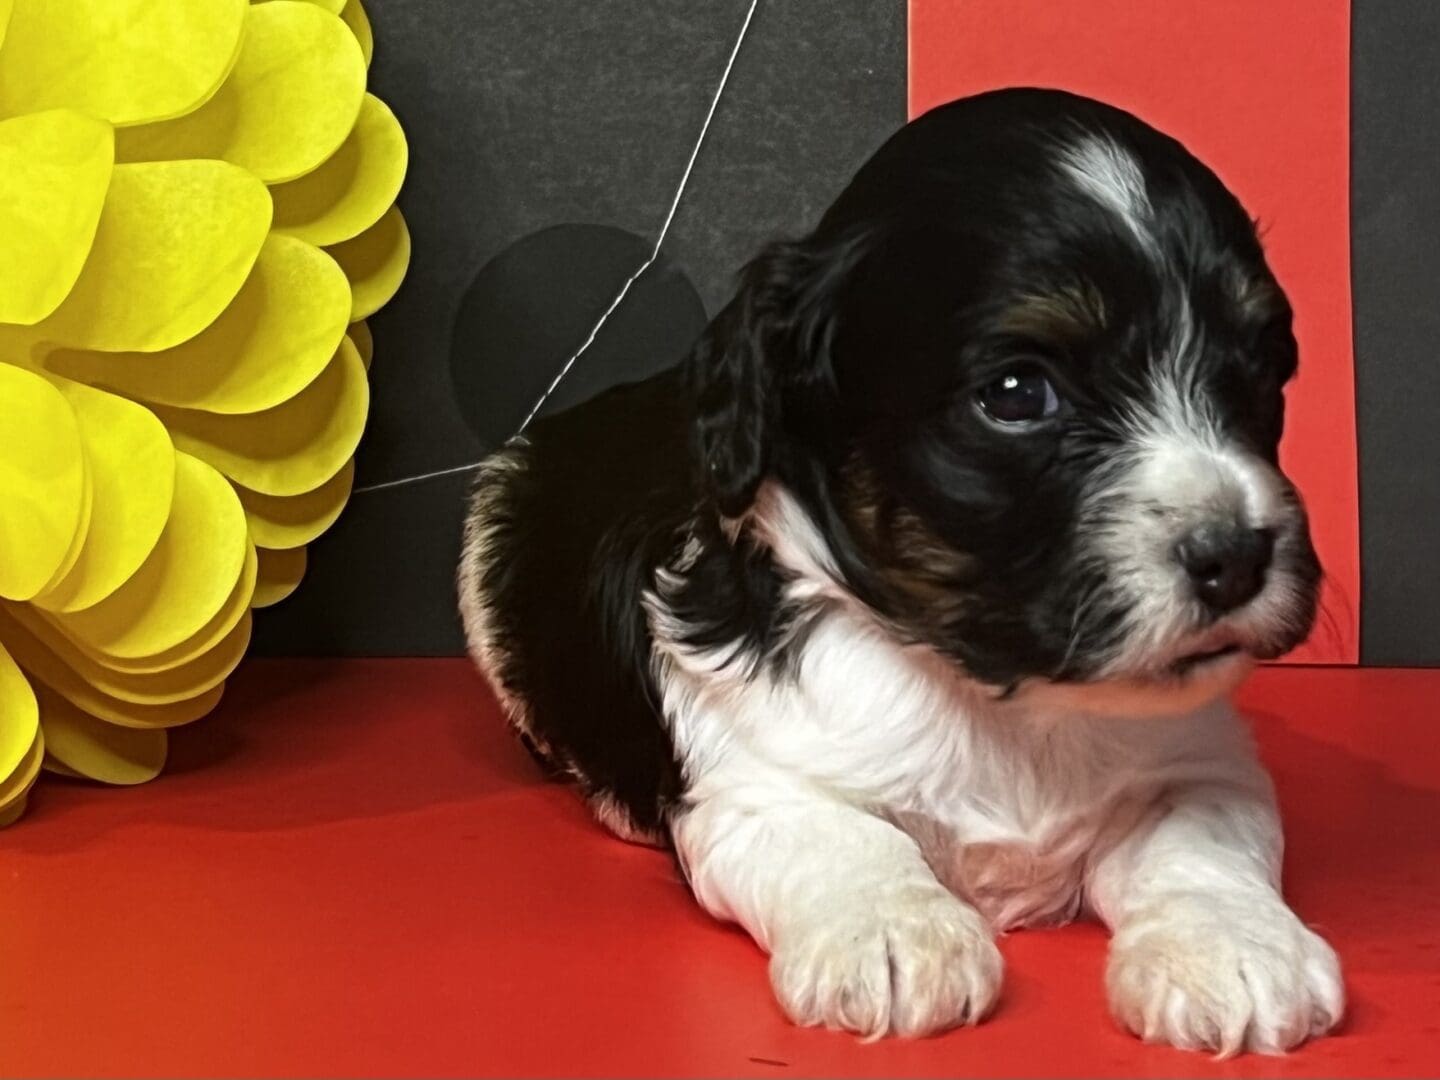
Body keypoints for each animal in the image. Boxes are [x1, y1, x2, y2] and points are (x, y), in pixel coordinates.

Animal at [457, 88, 1336, 1054]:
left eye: (1261, 370)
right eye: (1018, 393)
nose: (1238, 556)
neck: (1001, 697)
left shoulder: (1203, 759)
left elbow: (1200, 843)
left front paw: (1233, 946)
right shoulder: (753, 781)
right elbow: (844, 836)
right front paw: (891, 932)